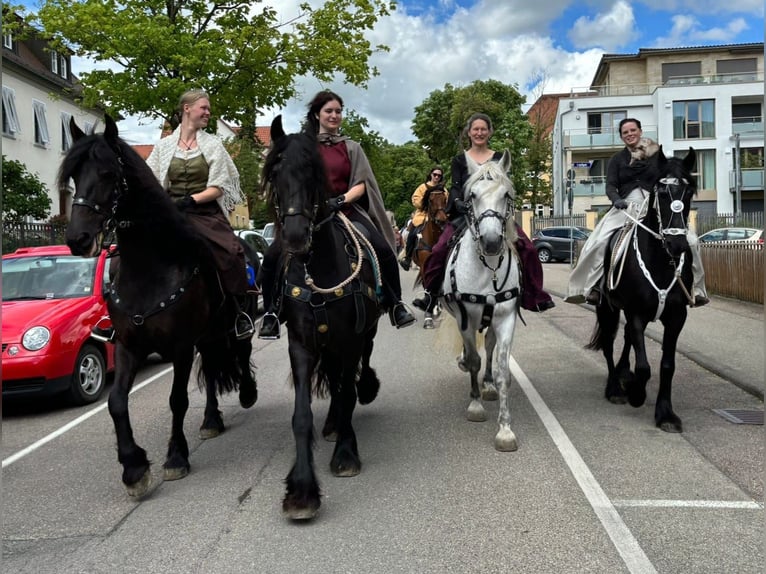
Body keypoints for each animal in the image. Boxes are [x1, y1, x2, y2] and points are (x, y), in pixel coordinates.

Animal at [60, 115, 258, 498]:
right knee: (213, 369)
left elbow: (177, 400)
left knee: (241, 352)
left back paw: (247, 394)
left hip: (233, 323)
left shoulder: (180, 346)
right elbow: (116, 402)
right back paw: (211, 419)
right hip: (207, 336)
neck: (150, 268)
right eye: (74, 174)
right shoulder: (128, 345)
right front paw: (134, 467)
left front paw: (176, 458)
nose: (78, 239)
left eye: (107, 173)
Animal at [264, 117, 384, 520]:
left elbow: (347, 392)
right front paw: (302, 490)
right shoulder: (301, 344)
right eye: (275, 174)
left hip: (365, 334)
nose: (296, 236)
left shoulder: (350, 340)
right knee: (331, 380)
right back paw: (331, 424)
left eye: (313, 173)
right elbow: (302, 415)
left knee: (354, 373)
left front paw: (345, 455)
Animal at [414, 189, 450, 328]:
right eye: (430, 200)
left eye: (445, 199)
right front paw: (428, 314)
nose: (441, 220)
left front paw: (434, 308)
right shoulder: (425, 266)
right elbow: (428, 287)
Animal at [444, 152, 520, 454]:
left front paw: (505, 429)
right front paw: (475, 405)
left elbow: (502, 370)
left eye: (506, 194)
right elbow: (474, 360)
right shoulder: (465, 318)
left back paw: (487, 386)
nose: (491, 242)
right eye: (472, 195)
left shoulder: (506, 318)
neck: (488, 268)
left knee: (488, 345)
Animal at [592, 146, 700, 434]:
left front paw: (665, 413)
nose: (677, 244)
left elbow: (667, 365)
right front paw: (637, 394)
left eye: (689, 191)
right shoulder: (636, 312)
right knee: (609, 343)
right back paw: (615, 388)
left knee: (627, 338)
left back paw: (623, 375)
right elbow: (643, 366)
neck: (661, 261)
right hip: (607, 308)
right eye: (661, 192)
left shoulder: (677, 316)